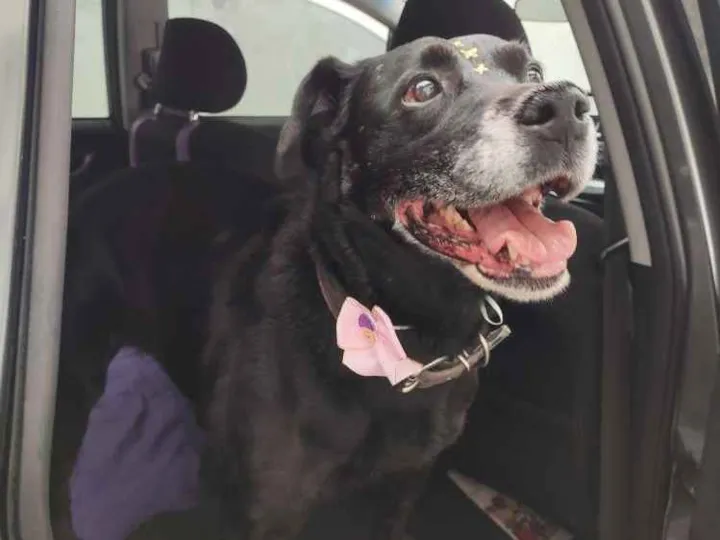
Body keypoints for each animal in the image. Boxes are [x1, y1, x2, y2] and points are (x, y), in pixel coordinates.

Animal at [55, 33, 597, 540]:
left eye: (532, 70)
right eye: (422, 89)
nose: (566, 107)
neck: (404, 340)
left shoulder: (405, 485)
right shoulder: (269, 511)